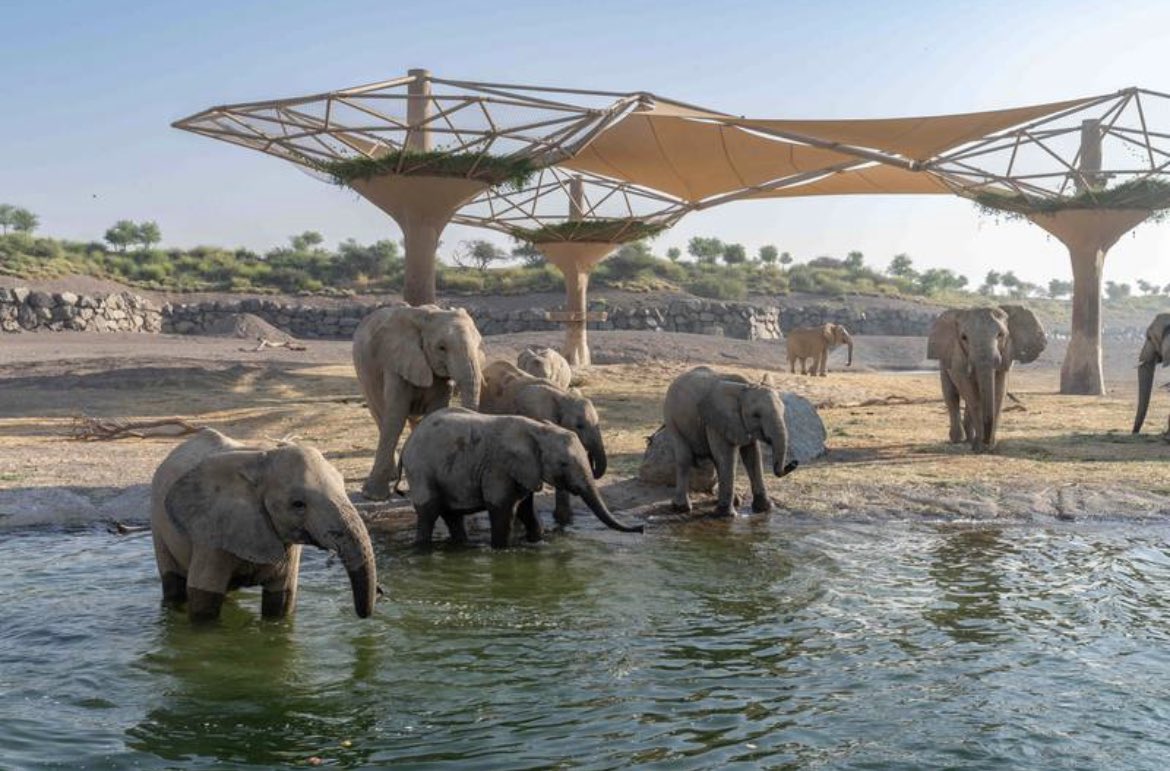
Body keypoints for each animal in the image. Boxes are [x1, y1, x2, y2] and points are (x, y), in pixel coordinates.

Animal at [150, 428, 378, 622]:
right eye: (298, 504)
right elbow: (204, 604)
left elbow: (280, 603)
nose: (363, 615)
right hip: (158, 525)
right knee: (173, 584)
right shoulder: (211, 532)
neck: (263, 460)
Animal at [353, 304, 484, 500]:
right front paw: (373, 496)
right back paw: (393, 476)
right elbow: (396, 416)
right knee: (380, 415)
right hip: (364, 376)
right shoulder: (396, 362)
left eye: (479, 344)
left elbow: (434, 413)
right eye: (441, 348)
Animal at [399, 408, 643, 548]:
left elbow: (527, 509)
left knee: (452, 515)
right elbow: (502, 510)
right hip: (421, 470)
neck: (539, 430)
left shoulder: (525, 470)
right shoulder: (498, 467)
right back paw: (423, 549)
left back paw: (460, 546)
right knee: (429, 512)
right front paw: (501, 551)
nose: (640, 528)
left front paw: (537, 542)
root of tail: (406, 446)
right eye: (563, 464)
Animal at [663, 366, 798, 517]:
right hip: (672, 418)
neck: (744, 388)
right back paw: (682, 508)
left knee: (716, 461)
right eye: (756, 415)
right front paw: (726, 515)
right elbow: (728, 455)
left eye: (783, 411)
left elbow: (752, 455)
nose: (793, 463)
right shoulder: (715, 420)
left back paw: (735, 501)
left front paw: (765, 509)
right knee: (685, 458)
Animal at [926, 304, 1046, 452]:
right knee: (951, 395)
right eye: (964, 337)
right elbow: (970, 392)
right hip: (943, 360)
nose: (986, 442)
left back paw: (969, 439)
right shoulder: (958, 357)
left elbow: (999, 391)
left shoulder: (1006, 354)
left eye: (1001, 335)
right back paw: (958, 440)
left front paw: (989, 447)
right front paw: (980, 448)